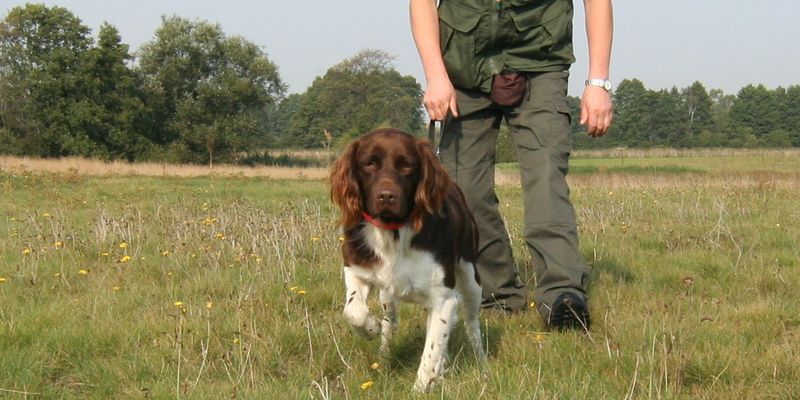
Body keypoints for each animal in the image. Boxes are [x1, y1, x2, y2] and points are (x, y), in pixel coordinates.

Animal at [330, 129, 488, 394]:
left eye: (407, 165)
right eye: (369, 163)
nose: (386, 196)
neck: (392, 232)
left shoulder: (444, 298)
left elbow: (432, 350)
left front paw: (422, 386)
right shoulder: (355, 267)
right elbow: (353, 310)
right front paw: (370, 328)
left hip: (470, 276)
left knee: (471, 321)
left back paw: (480, 360)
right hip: (387, 296)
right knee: (391, 322)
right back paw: (384, 354)